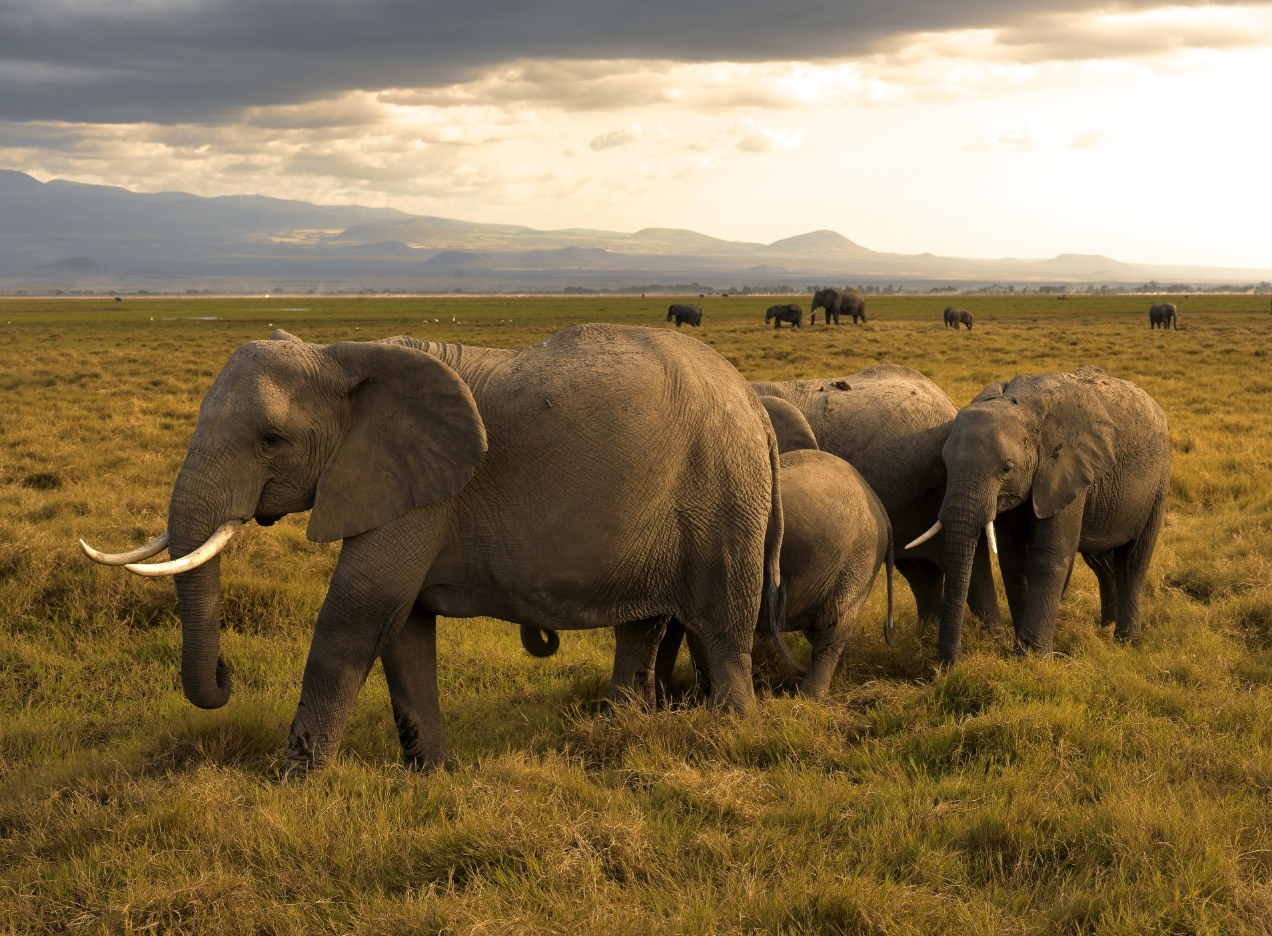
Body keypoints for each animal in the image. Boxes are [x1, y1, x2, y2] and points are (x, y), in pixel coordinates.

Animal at [84, 321, 778, 773]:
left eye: (270, 440)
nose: (226, 675)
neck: (340, 355)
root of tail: (752, 397)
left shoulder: (421, 493)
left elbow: (357, 615)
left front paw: (296, 788)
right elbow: (402, 629)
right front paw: (430, 779)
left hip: (726, 496)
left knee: (722, 631)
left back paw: (734, 742)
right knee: (643, 628)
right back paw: (616, 740)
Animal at [926, 368, 1170, 661]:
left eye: (1007, 469)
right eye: (944, 463)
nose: (955, 661)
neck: (1024, 405)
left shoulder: (1065, 469)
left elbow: (1049, 556)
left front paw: (1032, 657)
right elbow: (1012, 559)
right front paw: (1022, 650)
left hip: (1158, 484)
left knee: (1133, 562)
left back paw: (1125, 641)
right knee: (1100, 561)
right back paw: (1104, 627)